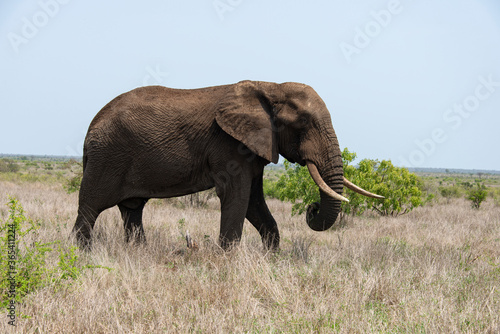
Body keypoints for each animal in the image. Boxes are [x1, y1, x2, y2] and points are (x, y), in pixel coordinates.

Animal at [71, 79, 382, 249]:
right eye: (303, 123)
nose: (312, 207)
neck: (270, 86)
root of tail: (91, 126)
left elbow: (254, 202)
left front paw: (270, 258)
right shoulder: (228, 146)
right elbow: (237, 196)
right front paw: (227, 262)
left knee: (132, 210)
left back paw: (138, 253)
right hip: (106, 157)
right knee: (90, 208)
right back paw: (81, 256)